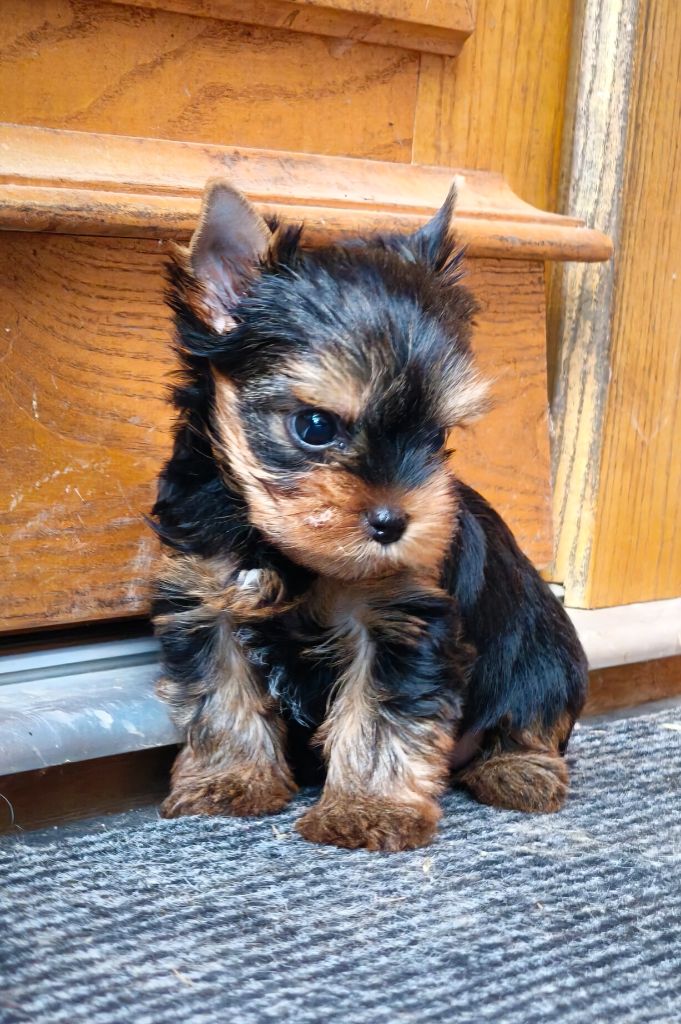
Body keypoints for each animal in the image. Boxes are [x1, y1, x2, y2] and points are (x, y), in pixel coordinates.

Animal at [150, 180, 588, 852]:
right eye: (314, 426)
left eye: (436, 436)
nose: (393, 523)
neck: (278, 547)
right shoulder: (207, 593)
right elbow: (219, 691)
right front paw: (231, 779)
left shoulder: (397, 618)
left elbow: (381, 714)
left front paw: (368, 809)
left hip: (543, 651)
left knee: (534, 711)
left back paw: (519, 770)